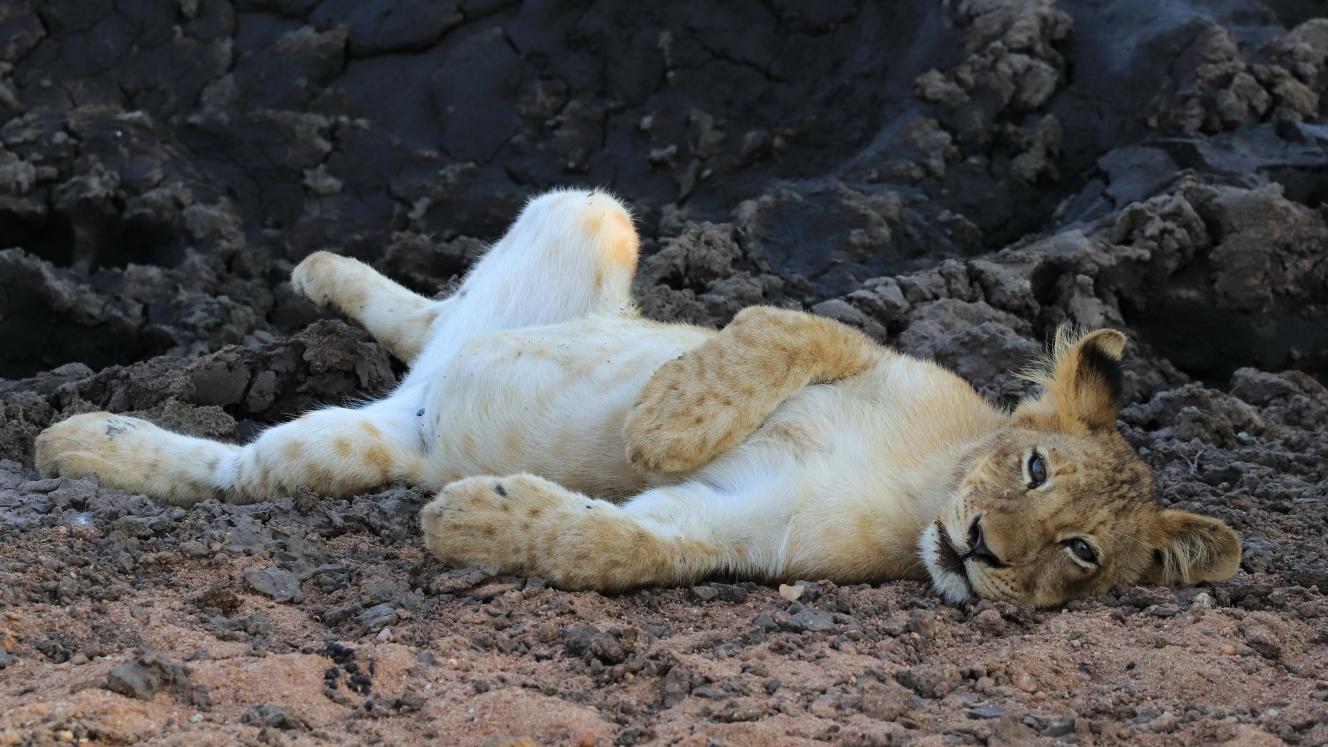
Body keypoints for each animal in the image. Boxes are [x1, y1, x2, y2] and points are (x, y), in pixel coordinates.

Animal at [34, 188, 1241, 607]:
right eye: (1033, 467)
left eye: (1082, 553)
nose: (985, 549)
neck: (918, 492)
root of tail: (423, 398)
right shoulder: (858, 349)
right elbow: (770, 334)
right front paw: (657, 423)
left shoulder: (740, 530)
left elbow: (620, 545)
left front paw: (478, 518)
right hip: (594, 213)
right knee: (444, 315)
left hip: (354, 444)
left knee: (239, 466)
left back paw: (81, 443)